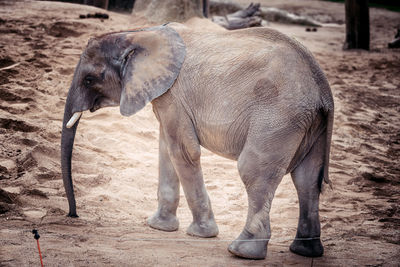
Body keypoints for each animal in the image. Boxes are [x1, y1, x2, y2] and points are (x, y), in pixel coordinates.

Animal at [60, 22, 334, 260]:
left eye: (89, 79)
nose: (73, 215)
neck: (139, 34)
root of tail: (323, 91)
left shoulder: (173, 94)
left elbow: (183, 151)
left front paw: (201, 233)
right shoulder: (166, 96)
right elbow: (166, 148)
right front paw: (159, 226)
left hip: (278, 117)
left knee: (254, 171)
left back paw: (241, 251)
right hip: (307, 123)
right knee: (307, 179)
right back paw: (305, 252)